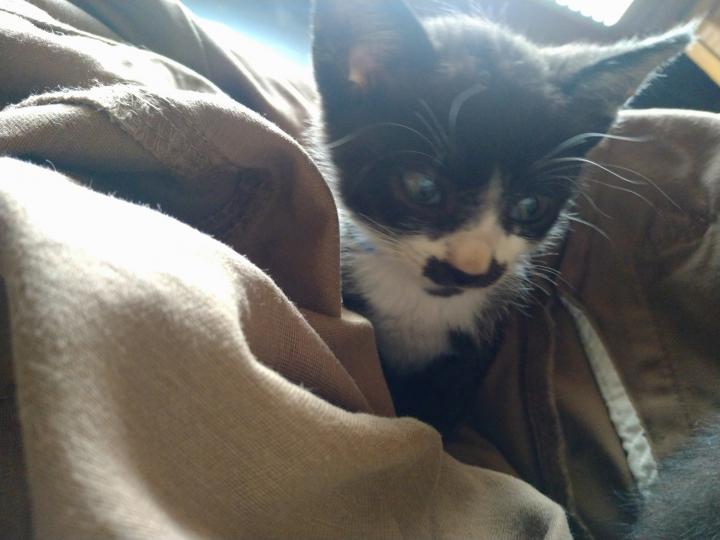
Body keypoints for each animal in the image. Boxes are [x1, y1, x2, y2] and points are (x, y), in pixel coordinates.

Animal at [309, 0, 691, 432]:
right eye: (423, 188)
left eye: (530, 206)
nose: (471, 270)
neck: (420, 301)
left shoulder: (475, 350)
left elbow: (440, 412)